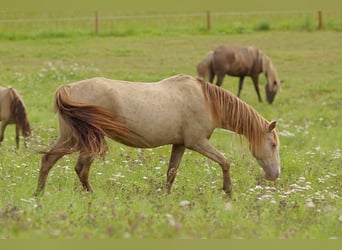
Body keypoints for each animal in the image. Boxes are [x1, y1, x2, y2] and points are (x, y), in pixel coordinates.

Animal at [34, 75, 280, 196]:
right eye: (274, 144)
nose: (275, 174)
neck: (206, 100)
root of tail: (69, 88)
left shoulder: (180, 144)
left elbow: (171, 173)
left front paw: (165, 198)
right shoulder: (198, 143)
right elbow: (225, 162)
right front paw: (229, 192)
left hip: (70, 138)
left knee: (48, 160)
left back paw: (39, 194)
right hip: (89, 141)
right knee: (81, 169)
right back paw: (91, 196)